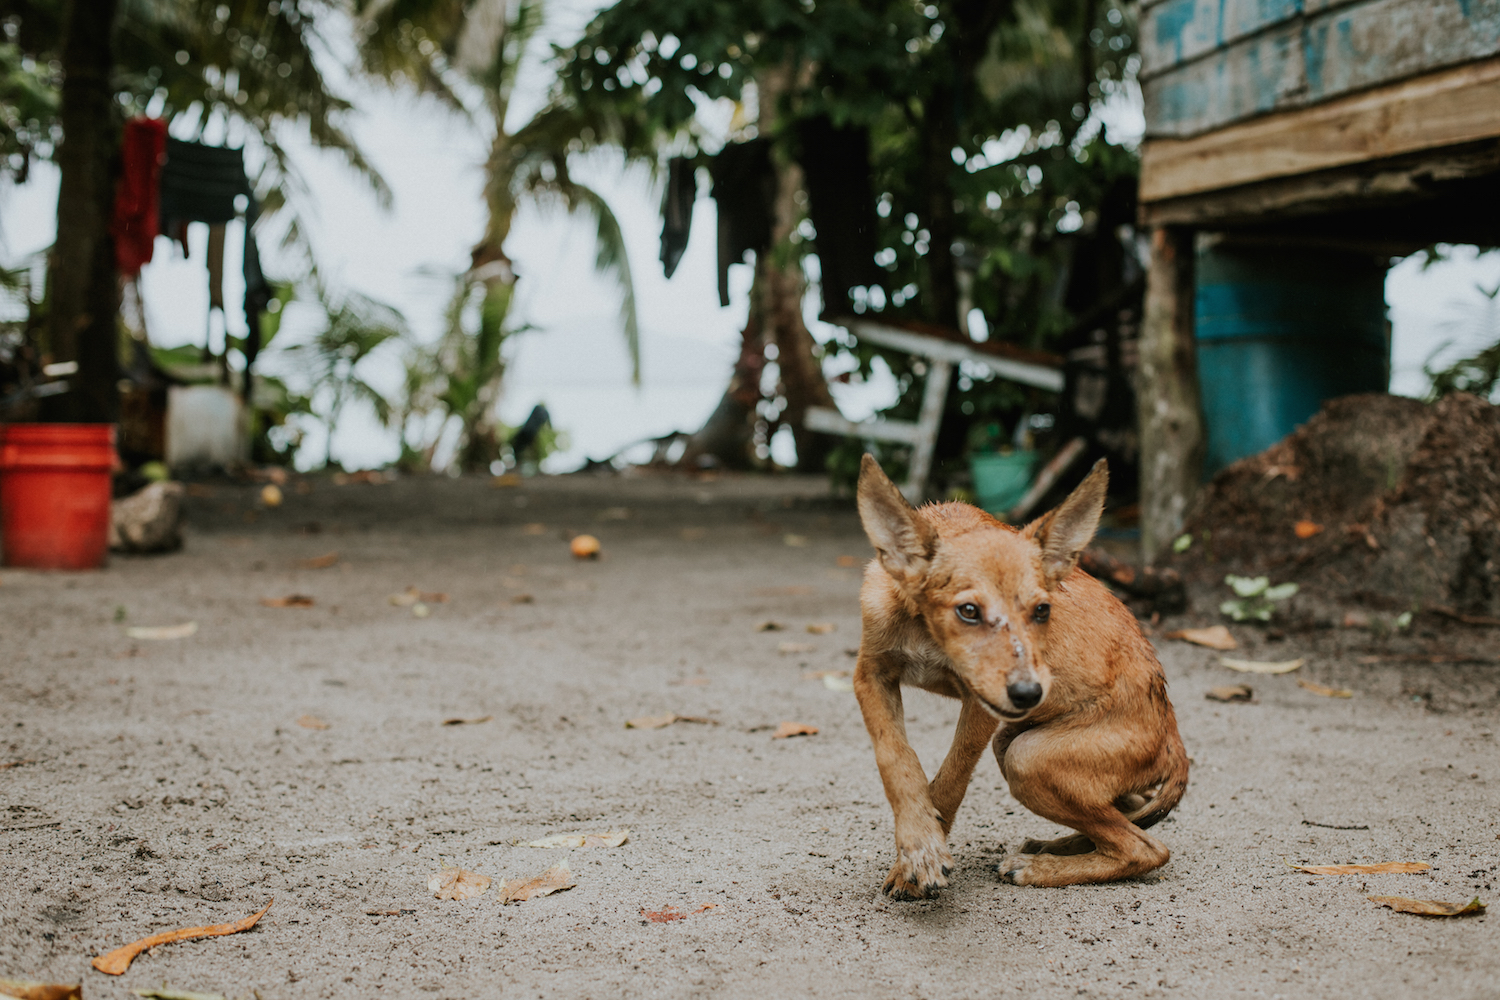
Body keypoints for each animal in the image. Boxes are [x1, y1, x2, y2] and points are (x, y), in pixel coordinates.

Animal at [858, 458, 1182, 893]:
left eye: (1043, 610)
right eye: (968, 611)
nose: (1030, 693)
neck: (924, 632)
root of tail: (1174, 741)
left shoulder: (981, 703)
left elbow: (951, 776)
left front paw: (924, 852)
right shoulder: (871, 674)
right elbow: (896, 758)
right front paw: (920, 843)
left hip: (1027, 758)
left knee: (1144, 848)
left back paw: (1037, 867)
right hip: (1015, 744)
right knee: (1133, 813)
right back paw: (1055, 846)